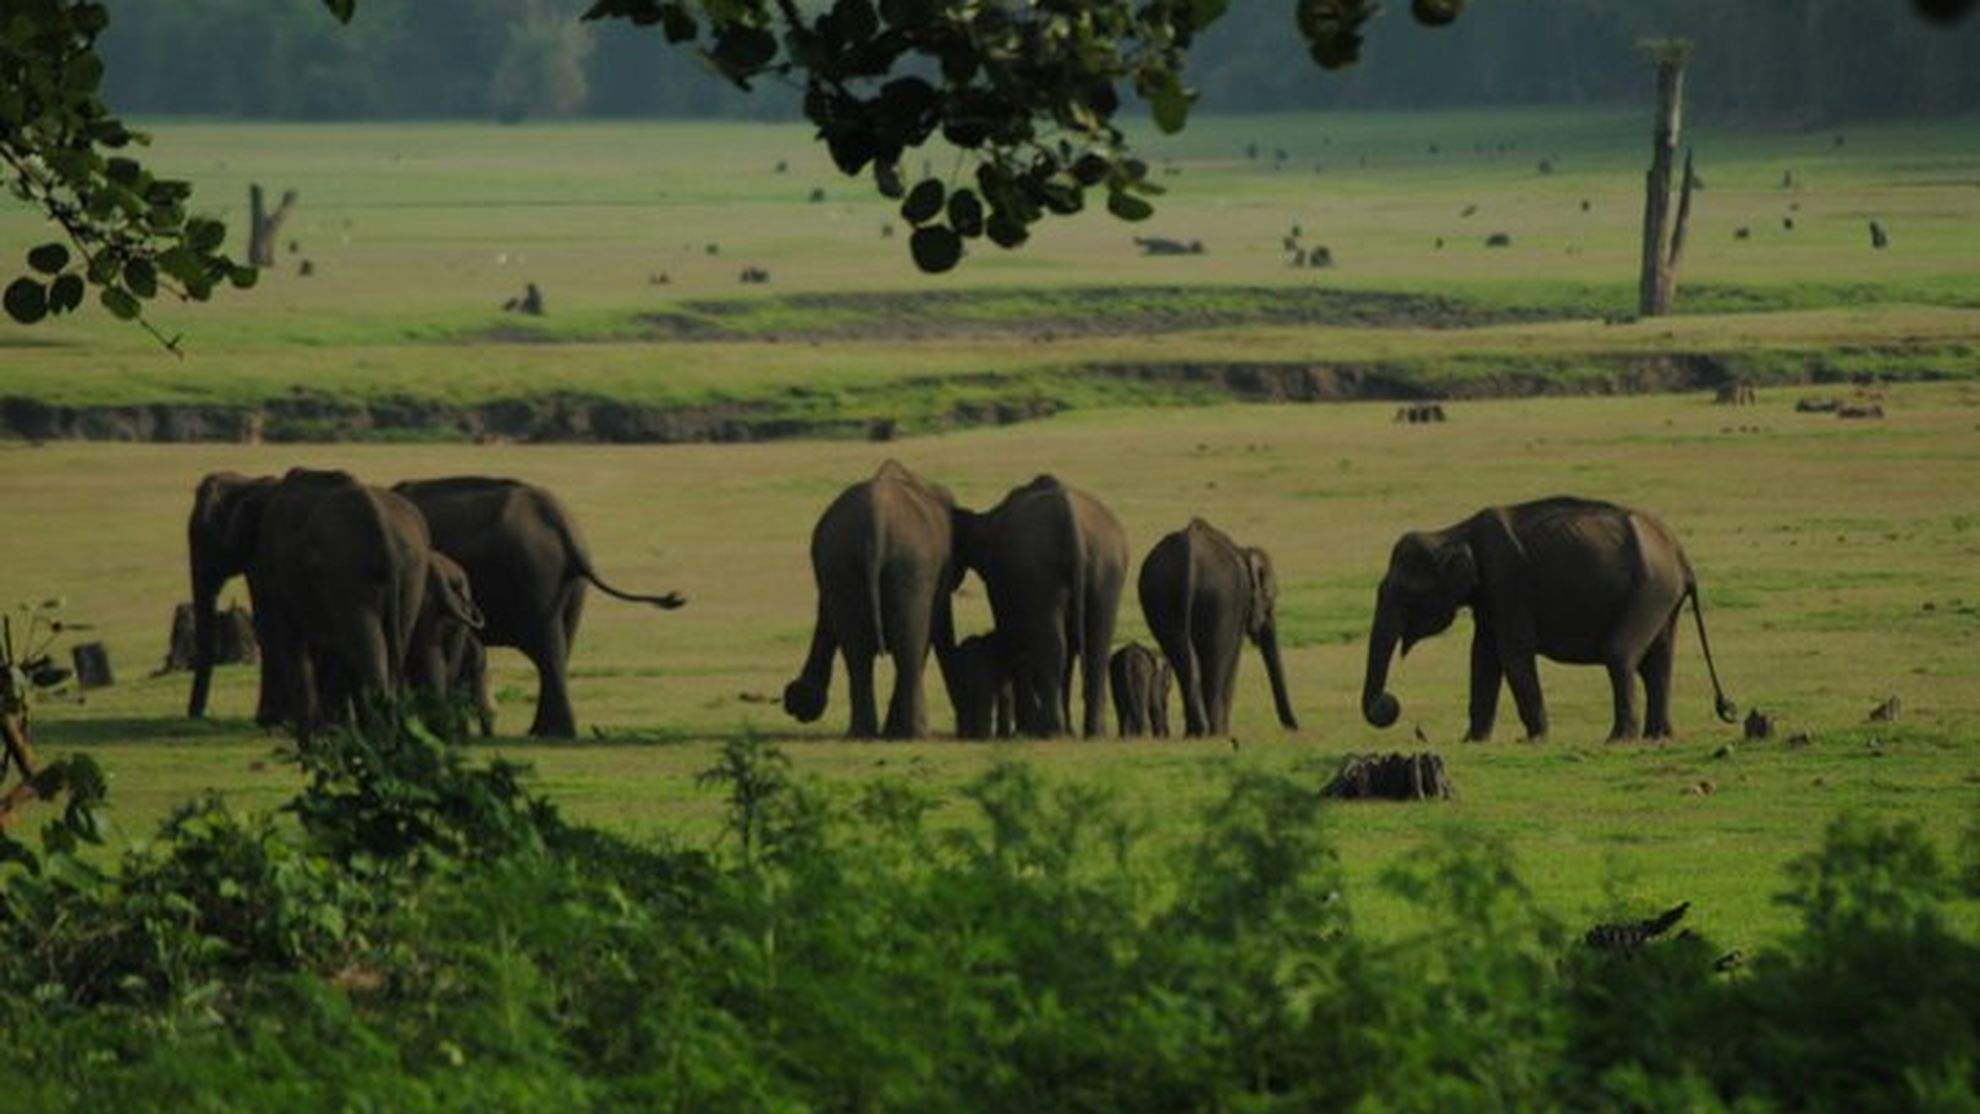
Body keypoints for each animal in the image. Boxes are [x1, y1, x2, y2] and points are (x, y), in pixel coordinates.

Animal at [392, 476, 686, 738]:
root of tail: (562, 524)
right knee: (560, 646)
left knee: (547, 648)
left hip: (535, 574)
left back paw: (550, 733)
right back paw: (546, 731)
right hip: (570, 585)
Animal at [785, 460, 967, 739]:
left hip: (841, 562)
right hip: (910, 563)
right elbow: (937, 629)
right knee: (908, 646)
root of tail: (876, 519)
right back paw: (913, 734)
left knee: (858, 652)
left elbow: (827, 619)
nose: (796, 708)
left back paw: (864, 734)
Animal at [960, 475, 1127, 738]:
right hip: (1107, 567)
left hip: (1040, 569)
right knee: (1095, 647)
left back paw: (1052, 730)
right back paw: (1089, 732)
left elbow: (1012, 637)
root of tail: (1071, 522)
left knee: (1056, 646)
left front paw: (1024, 729)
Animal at [1137, 519, 1298, 737]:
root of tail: (1190, 560)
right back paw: (1215, 732)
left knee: (1183, 656)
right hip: (1220, 599)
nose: (1294, 728)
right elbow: (1233, 658)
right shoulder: (1239, 608)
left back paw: (1196, 732)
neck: (1244, 550)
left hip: (1163, 595)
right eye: (1270, 598)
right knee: (1216, 658)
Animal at [1360, 496, 1738, 742]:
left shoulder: (1507, 582)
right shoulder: (1490, 596)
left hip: (1650, 590)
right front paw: (1472, 741)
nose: (1388, 703)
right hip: (1664, 599)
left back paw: (1619, 739)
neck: (1455, 531)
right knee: (1657, 663)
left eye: (1406, 593)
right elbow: (1483, 657)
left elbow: (1512, 654)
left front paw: (1533, 740)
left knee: (1619, 654)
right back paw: (1656, 736)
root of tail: (1682, 557)